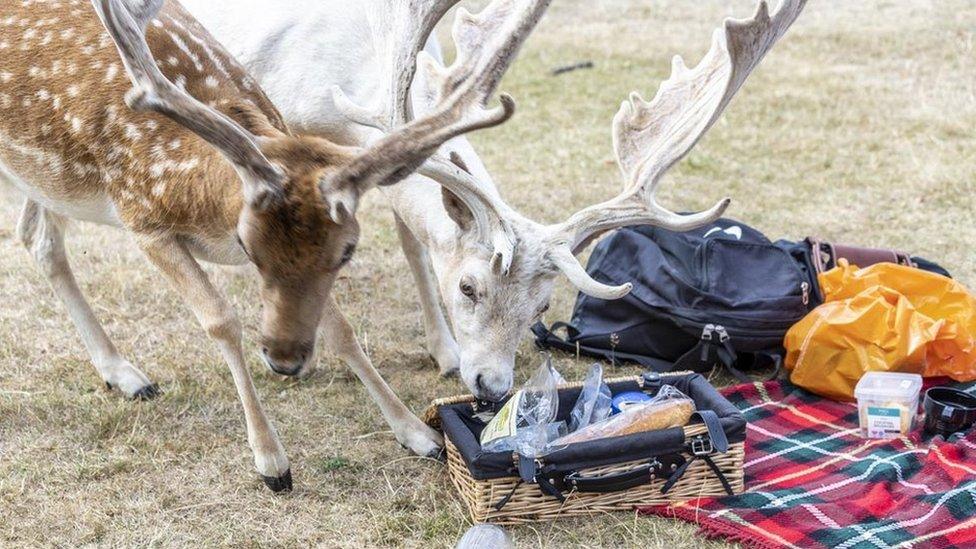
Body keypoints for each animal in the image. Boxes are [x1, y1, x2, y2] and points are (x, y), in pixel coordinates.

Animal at [0, 0, 548, 490]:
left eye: (347, 251)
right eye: (468, 288)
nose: (284, 361)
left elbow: (341, 329)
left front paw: (418, 435)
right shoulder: (142, 219)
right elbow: (221, 320)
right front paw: (272, 463)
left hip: (43, 181)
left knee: (37, 238)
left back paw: (120, 373)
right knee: (40, 239)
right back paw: (128, 375)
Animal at [185, 0, 808, 400]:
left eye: (542, 307)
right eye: (469, 287)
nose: (493, 387)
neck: (336, 82)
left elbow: (415, 242)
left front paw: (444, 352)